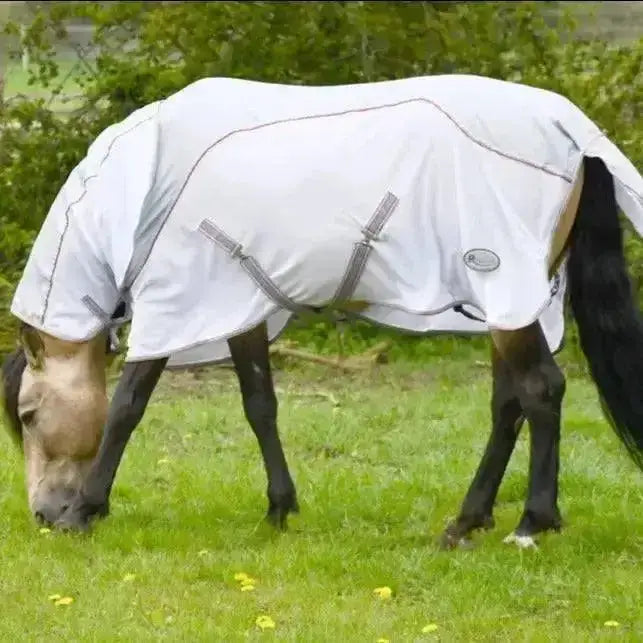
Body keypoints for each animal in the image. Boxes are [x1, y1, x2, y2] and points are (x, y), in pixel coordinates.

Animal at [2, 74, 642, 550]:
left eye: (28, 415)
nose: (42, 514)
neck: (153, 183)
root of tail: (572, 134)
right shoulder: (239, 303)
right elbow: (259, 405)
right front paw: (279, 510)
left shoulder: (178, 300)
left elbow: (127, 407)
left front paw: (87, 510)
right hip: (509, 306)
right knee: (509, 401)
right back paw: (466, 522)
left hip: (505, 294)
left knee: (541, 391)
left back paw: (531, 523)